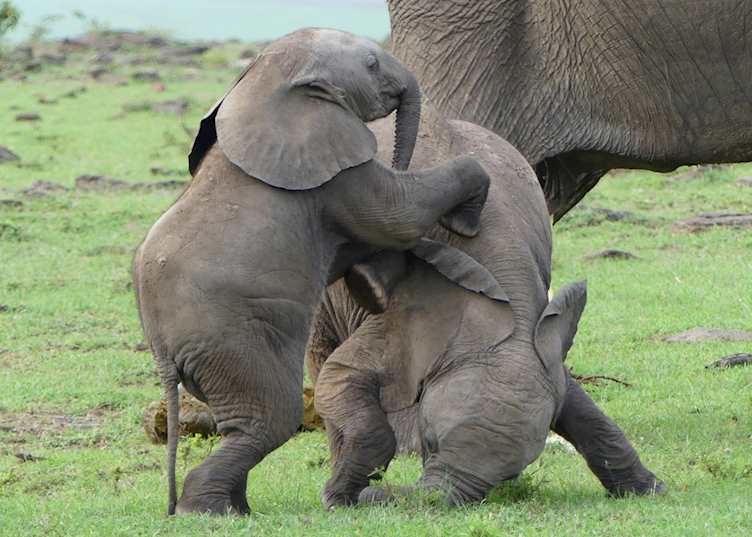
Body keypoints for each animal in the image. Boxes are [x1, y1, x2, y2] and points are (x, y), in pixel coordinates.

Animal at [132, 28, 492, 516]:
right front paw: (467, 223)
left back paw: (235, 508)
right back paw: (209, 511)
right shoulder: (334, 166)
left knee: (240, 427)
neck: (262, 81)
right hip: (229, 344)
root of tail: (164, 355)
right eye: (371, 64)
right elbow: (398, 215)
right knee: (270, 420)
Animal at [306, 105, 665, 507]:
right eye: (430, 440)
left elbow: (579, 405)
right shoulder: (409, 313)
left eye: (512, 474)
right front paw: (339, 498)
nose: (373, 496)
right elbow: (339, 376)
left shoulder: (541, 348)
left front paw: (650, 489)